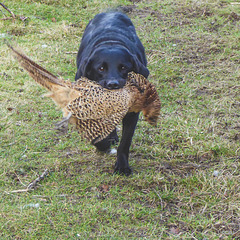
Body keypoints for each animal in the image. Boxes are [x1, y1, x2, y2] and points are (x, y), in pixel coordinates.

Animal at [76, 11, 149, 175]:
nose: (113, 84)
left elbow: (125, 142)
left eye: (123, 67)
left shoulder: (131, 114)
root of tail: (111, 11)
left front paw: (122, 166)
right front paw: (103, 145)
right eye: (101, 68)